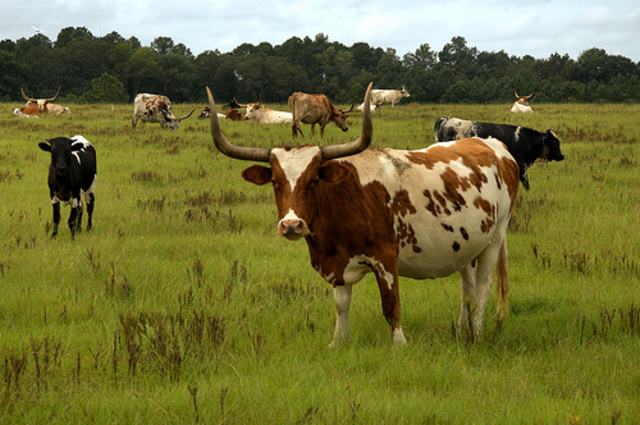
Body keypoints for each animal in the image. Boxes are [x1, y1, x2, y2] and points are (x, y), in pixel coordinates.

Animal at [206, 83, 520, 346]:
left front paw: (399, 345)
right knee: (467, 288)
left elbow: (391, 306)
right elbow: (341, 305)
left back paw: (475, 334)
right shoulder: (337, 262)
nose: (292, 225)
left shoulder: (385, 258)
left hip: (495, 237)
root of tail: (493, 145)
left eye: (314, 180)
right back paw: (462, 328)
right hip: (465, 244)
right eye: (275, 182)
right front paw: (338, 342)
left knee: (482, 287)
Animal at [434, 117, 564, 190]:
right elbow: (526, 184)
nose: (562, 156)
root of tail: (444, 119)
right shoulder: (521, 167)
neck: (526, 140)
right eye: (554, 143)